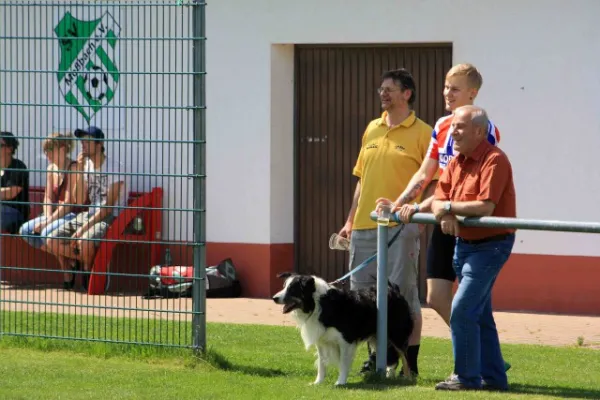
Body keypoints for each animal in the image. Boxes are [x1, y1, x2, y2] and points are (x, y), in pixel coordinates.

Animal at [272, 272, 412, 384]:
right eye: (284, 287)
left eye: (292, 289)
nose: (274, 298)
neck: (319, 303)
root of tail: (393, 289)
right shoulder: (321, 340)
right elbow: (322, 363)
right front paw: (318, 382)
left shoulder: (346, 340)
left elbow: (344, 363)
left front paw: (341, 382)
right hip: (378, 337)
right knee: (392, 356)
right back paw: (390, 375)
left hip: (396, 333)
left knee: (404, 356)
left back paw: (408, 378)